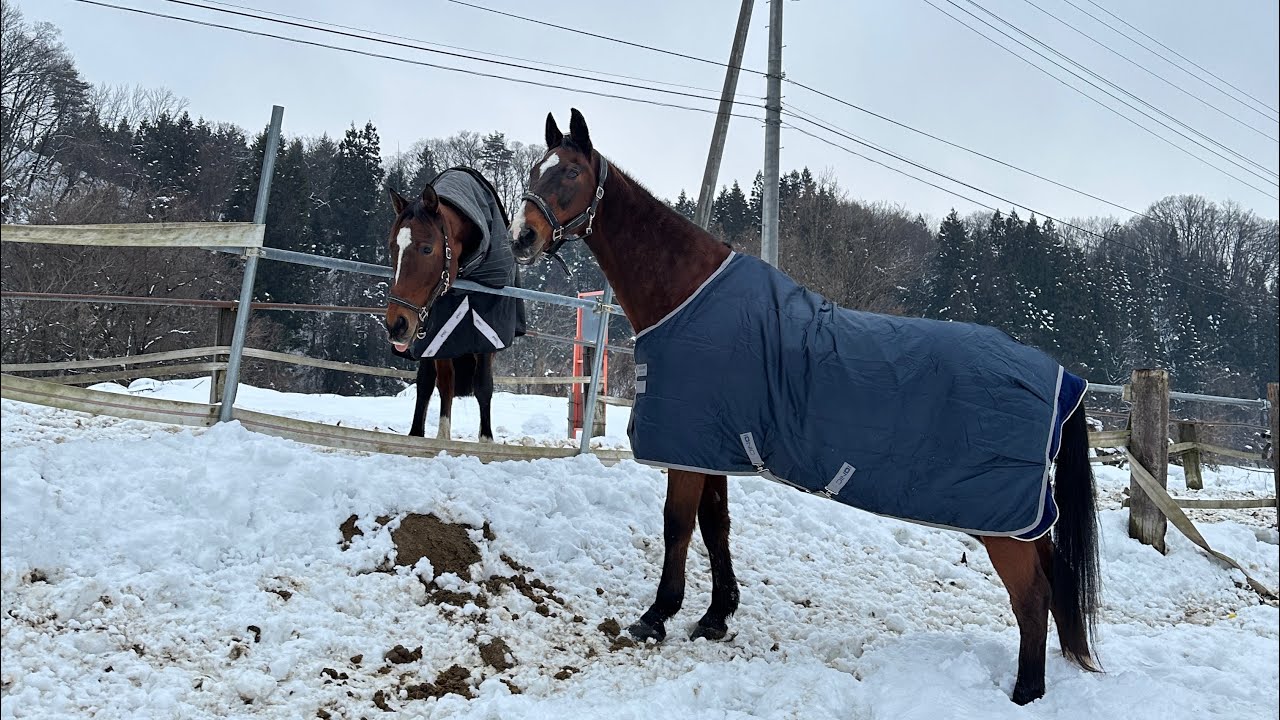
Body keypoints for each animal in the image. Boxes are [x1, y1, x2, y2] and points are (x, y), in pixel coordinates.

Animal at [510, 109, 1102, 705]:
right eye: (537, 169)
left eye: (569, 173)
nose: (522, 238)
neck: (689, 297)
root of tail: (1063, 379)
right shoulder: (712, 446)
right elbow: (715, 525)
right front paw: (716, 617)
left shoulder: (686, 450)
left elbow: (678, 525)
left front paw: (656, 616)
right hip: (1027, 523)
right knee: (1052, 583)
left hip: (1004, 525)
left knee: (1032, 596)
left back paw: (1025, 693)